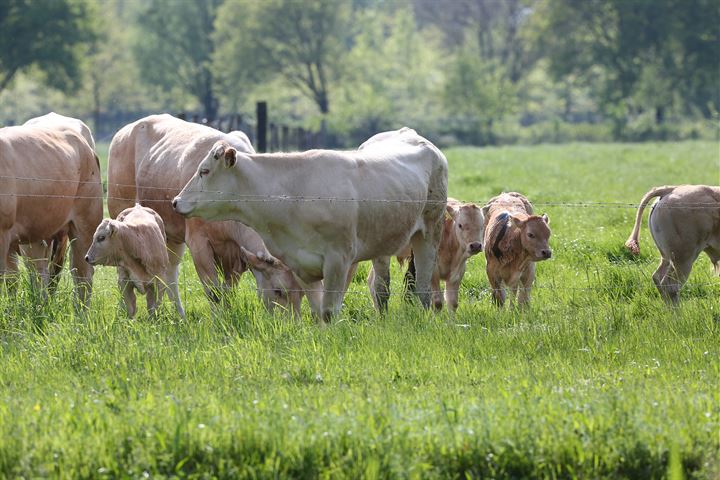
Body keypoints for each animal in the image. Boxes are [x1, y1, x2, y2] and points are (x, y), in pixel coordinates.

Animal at [172, 127, 448, 322]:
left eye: (204, 171)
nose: (176, 202)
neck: (294, 194)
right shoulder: (299, 263)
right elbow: (317, 311)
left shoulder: (338, 259)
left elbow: (329, 311)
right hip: (383, 241)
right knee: (381, 289)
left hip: (430, 232)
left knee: (424, 288)